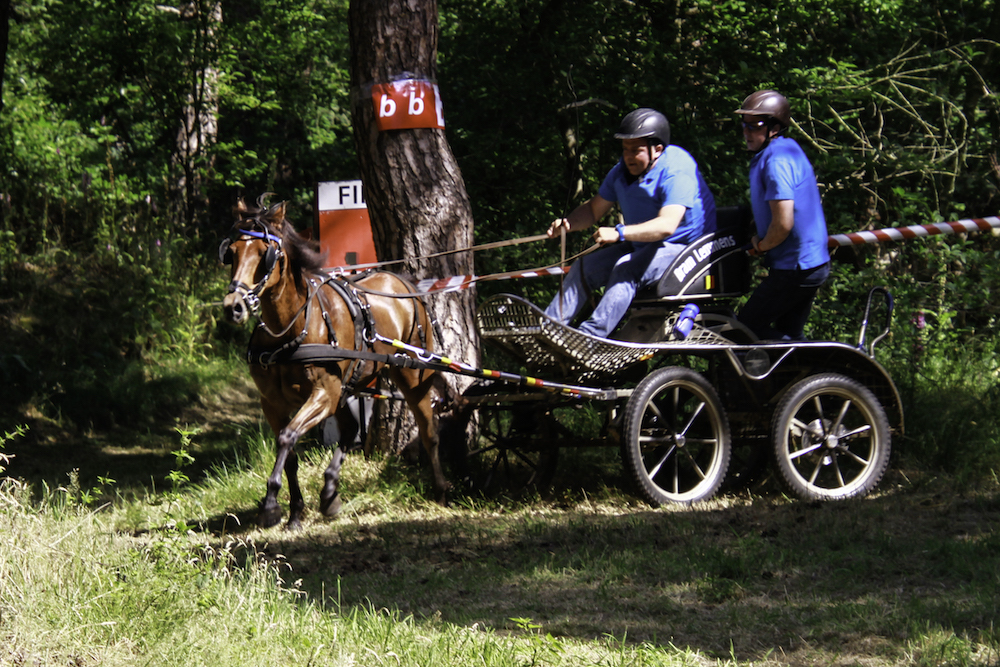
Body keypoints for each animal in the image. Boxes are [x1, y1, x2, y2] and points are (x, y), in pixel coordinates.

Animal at [223, 196, 450, 528]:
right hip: (351, 383)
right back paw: (330, 491)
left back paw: (440, 487)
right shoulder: (273, 402)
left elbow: (288, 437)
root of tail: (406, 284)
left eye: (266, 254)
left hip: (411, 377)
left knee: (428, 429)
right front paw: (295, 510)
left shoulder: (323, 394)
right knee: (351, 428)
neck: (291, 327)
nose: (233, 307)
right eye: (232, 252)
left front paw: (271, 503)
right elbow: (289, 452)